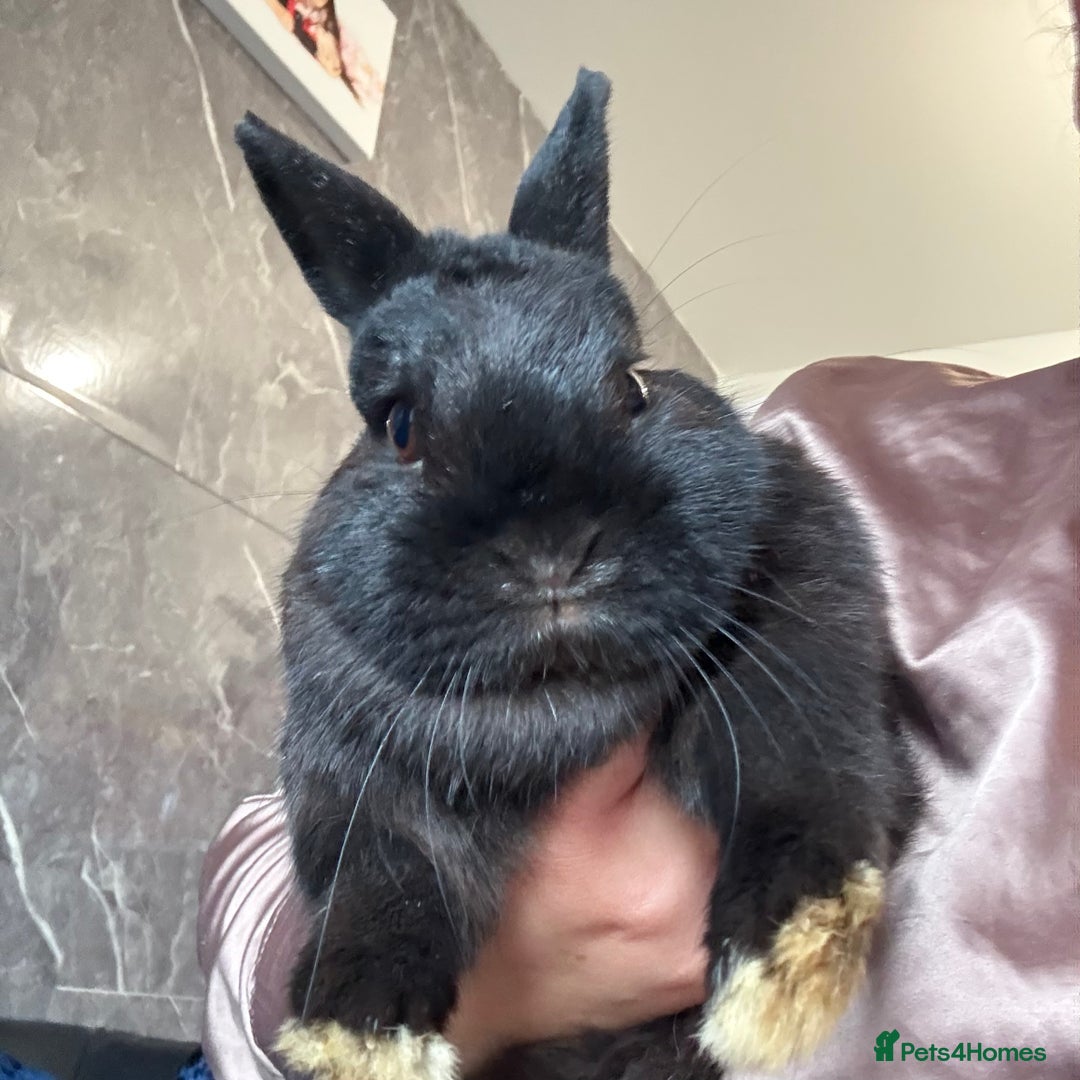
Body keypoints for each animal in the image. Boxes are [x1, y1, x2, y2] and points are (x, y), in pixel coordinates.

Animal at [234, 68, 920, 1080]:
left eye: (633, 386)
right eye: (398, 425)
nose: (550, 548)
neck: (558, 704)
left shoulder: (803, 632)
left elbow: (798, 754)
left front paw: (789, 961)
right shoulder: (348, 778)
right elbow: (383, 878)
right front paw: (353, 1032)